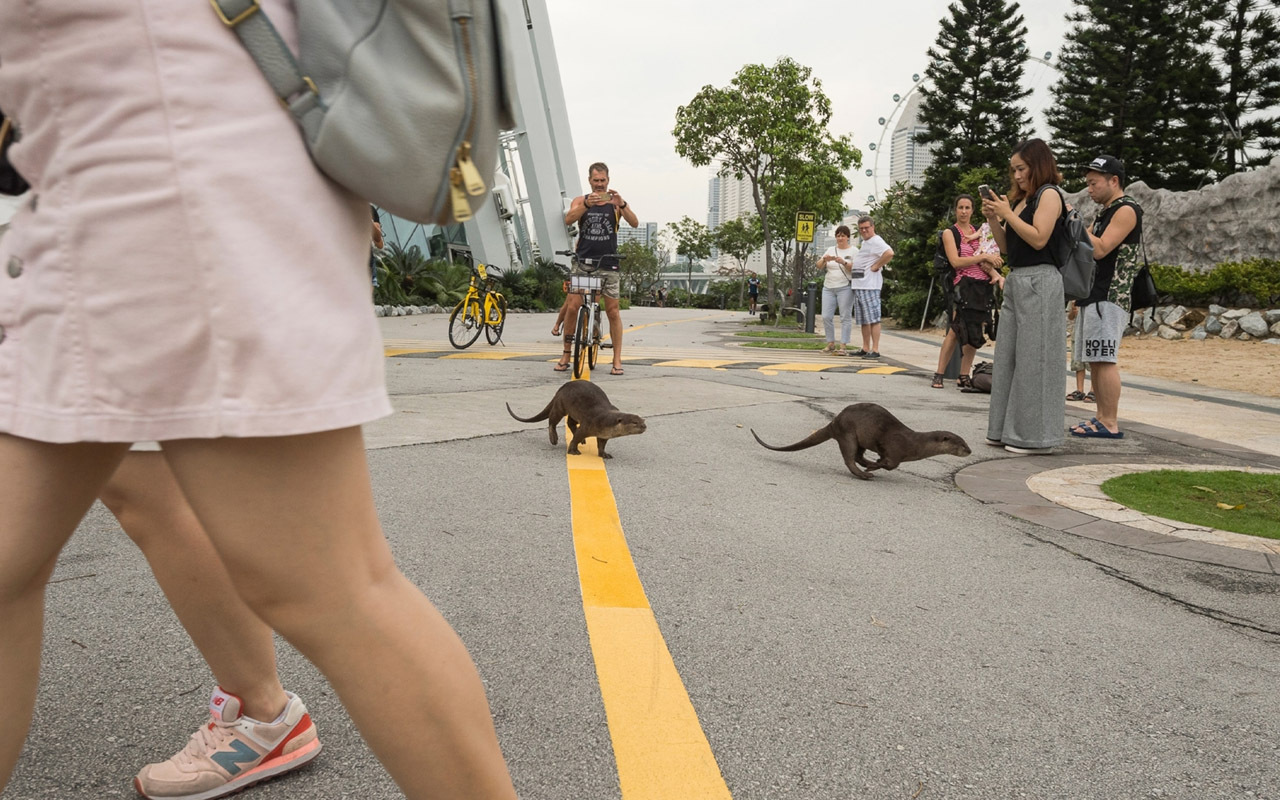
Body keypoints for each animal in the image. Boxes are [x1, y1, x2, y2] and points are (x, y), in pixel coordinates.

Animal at [504, 381, 645, 458]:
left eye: (643, 421)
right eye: (635, 422)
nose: (644, 426)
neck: (605, 420)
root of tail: (561, 388)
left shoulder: (604, 434)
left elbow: (601, 444)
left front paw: (604, 454)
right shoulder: (588, 423)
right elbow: (576, 437)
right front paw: (573, 450)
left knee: (570, 423)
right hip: (560, 405)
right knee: (552, 420)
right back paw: (554, 438)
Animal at [747, 401, 967, 476]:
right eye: (962, 444)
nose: (970, 450)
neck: (914, 444)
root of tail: (835, 421)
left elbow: (887, 462)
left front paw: (874, 464)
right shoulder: (895, 448)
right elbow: (891, 464)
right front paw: (875, 466)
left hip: (860, 438)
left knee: (858, 456)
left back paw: (867, 465)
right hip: (848, 434)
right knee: (849, 458)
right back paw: (864, 473)